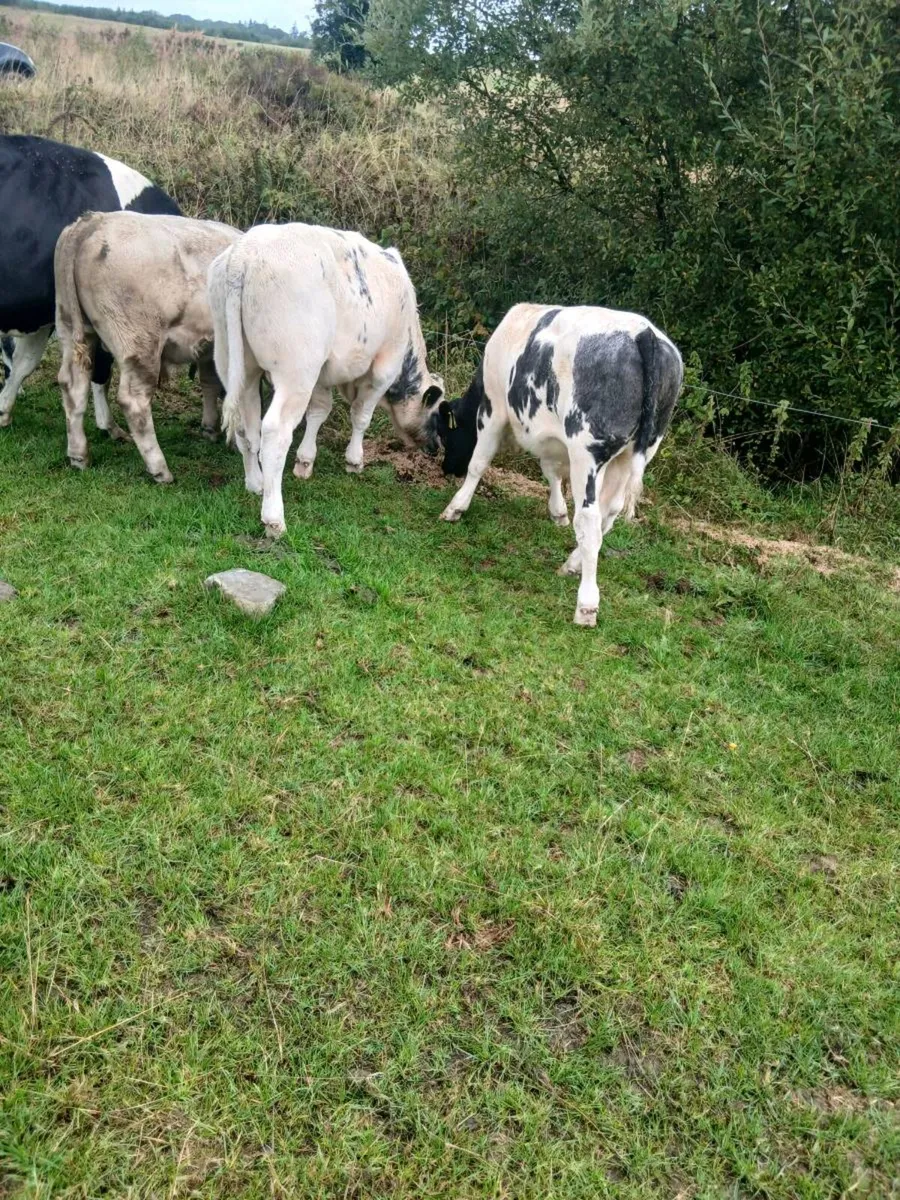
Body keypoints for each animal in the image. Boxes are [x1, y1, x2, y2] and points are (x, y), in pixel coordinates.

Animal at [54, 211, 240, 482]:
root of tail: (94, 219)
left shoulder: (209, 349)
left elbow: (210, 383)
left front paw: (210, 428)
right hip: (140, 343)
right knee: (134, 401)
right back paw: (159, 469)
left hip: (72, 329)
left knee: (73, 387)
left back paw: (79, 456)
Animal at [208, 222, 444, 538]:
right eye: (437, 413)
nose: (435, 447)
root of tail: (245, 251)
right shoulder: (383, 369)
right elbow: (361, 417)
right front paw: (354, 460)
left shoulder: (321, 373)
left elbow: (319, 411)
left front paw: (305, 461)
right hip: (296, 373)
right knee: (274, 432)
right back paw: (273, 517)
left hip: (236, 364)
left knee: (248, 428)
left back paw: (256, 484)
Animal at [426, 304, 683, 626]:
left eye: (446, 434)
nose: (446, 469)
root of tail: (644, 333)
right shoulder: (549, 437)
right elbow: (551, 473)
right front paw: (558, 512)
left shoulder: (493, 409)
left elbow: (479, 462)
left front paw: (456, 507)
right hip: (637, 452)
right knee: (608, 513)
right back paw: (573, 563)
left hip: (588, 451)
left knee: (590, 520)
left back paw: (586, 605)